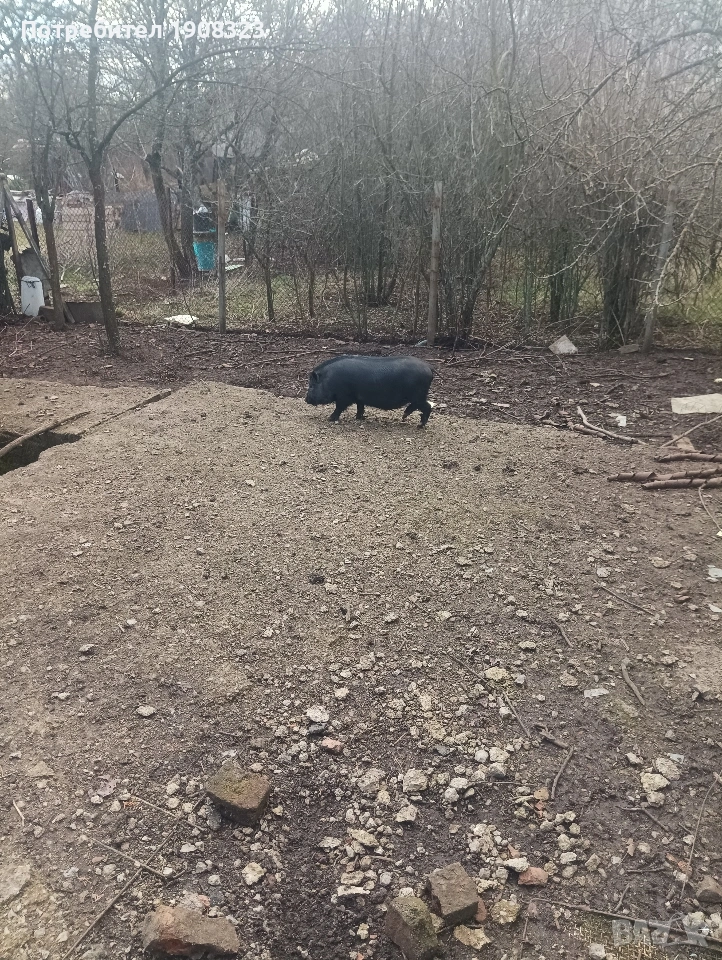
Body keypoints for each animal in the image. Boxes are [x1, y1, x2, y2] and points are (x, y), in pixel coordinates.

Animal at [305, 355, 435, 426]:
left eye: (311, 386)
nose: (306, 400)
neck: (329, 379)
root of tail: (429, 367)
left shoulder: (344, 396)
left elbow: (339, 407)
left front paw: (330, 419)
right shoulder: (359, 397)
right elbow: (360, 407)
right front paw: (359, 418)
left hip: (418, 395)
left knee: (427, 406)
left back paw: (420, 425)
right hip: (418, 396)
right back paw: (404, 417)